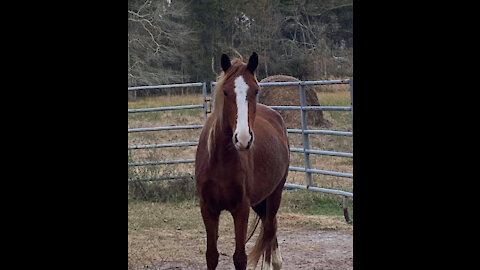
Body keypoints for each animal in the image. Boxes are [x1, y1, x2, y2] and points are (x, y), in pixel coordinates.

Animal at [194, 51, 288, 268]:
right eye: (226, 92)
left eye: (255, 90)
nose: (243, 138)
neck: (221, 160)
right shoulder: (208, 208)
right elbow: (211, 256)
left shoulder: (241, 210)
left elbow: (240, 258)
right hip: (261, 200)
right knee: (270, 228)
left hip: (274, 194)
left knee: (269, 230)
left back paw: (272, 263)